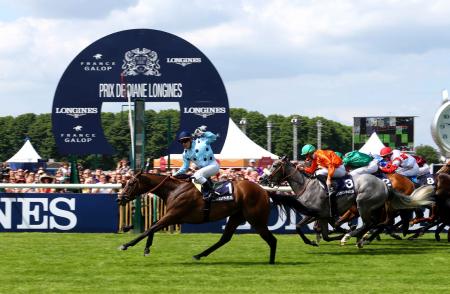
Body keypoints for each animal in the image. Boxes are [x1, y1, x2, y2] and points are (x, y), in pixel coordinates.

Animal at [116, 171, 316, 262]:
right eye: (126, 182)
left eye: (131, 183)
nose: (120, 198)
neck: (175, 189)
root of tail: (265, 191)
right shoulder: (175, 217)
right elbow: (153, 226)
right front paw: (146, 249)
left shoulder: (175, 215)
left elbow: (150, 228)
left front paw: (126, 245)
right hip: (236, 217)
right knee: (224, 238)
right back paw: (199, 255)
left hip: (256, 219)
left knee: (272, 240)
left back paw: (271, 261)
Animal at [262, 157, 434, 247]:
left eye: (275, 165)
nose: (262, 179)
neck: (307, 185)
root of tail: (385, 184)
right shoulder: (322, 215)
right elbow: (312, 230)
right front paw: (316, 240)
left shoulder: (316, 213)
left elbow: (310, 227)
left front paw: (343, 233)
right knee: (378, 223)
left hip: (363, 204)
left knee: (372, 223)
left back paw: (355, 236)